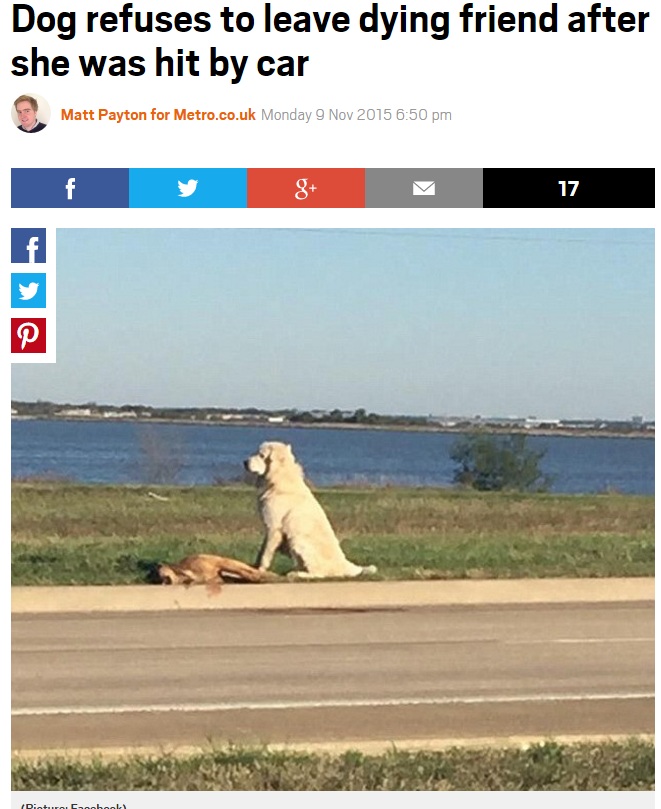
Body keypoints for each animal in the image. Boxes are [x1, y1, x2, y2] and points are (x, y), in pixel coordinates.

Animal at [242, 438, 376, 576]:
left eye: (261, 455)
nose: (245, 462)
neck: (280, 477)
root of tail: (345, 564)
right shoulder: (269, 529)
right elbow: (261, 551)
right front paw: (252, 567)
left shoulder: (274, 527)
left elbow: (265, 554)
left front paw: (260, 570)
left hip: (297, 540)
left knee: (317, 573)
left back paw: (296, 574)